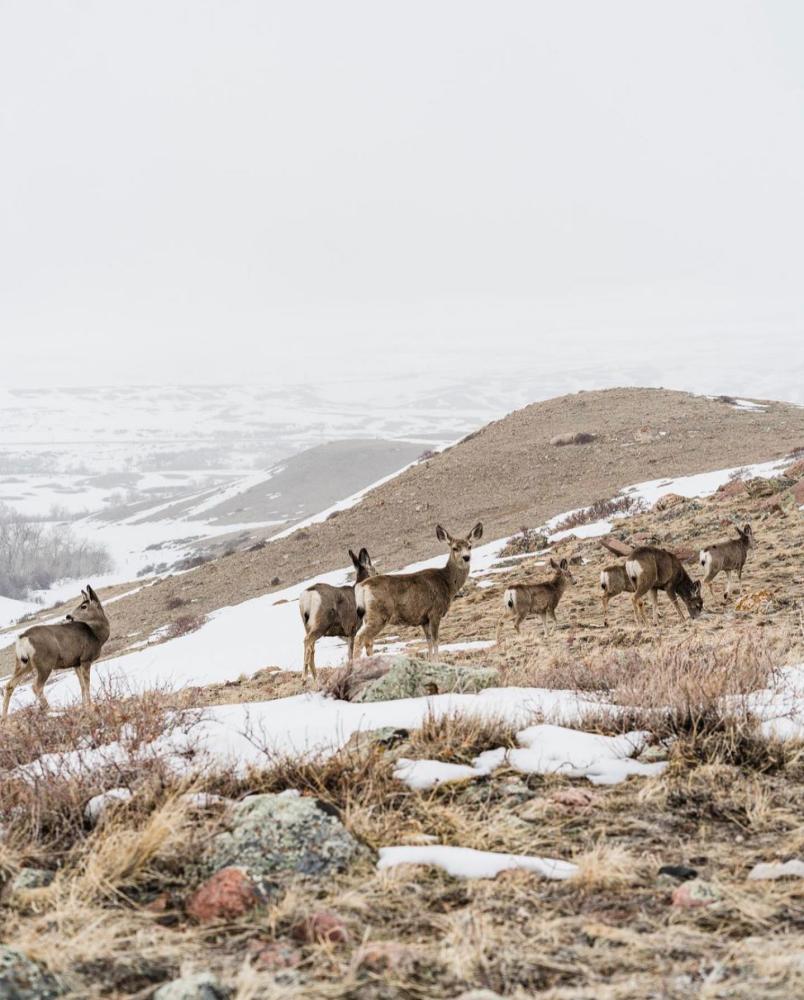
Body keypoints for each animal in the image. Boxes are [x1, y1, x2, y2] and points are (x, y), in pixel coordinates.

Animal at [1, 584, 110, 720]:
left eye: (83, 606)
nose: (69, 616)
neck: (97, 635)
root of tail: (23, 637)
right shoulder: (86, 658)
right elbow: (87, 684)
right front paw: (90, 706)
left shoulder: (75, 662)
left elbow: (82, 685)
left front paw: (84, 706)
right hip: (45, 663)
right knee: (36, 686)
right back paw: (53, 710)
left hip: (24, 663)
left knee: (9, 685)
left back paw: (4, 718)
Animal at [298, 548, 376, 680]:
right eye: (375, 570)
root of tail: (308, 595)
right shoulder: (352, 629)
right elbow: (352, 653)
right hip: (321, 624)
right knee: (308, 641)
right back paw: (304, 677)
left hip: (307, 625)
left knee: (311, 648)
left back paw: (315, 678)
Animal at [354, 524, 480, 664]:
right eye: (455, 548)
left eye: (469, 546)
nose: (466, 557)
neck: (446, 583)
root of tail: (362, 586)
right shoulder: (434, 612)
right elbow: (436, 640)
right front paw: (437, 661)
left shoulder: (423, 619)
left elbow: (429, 641)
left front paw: (430, 661)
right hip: (379, 614)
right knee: (360, 638)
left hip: (367, 616)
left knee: (368, 641)